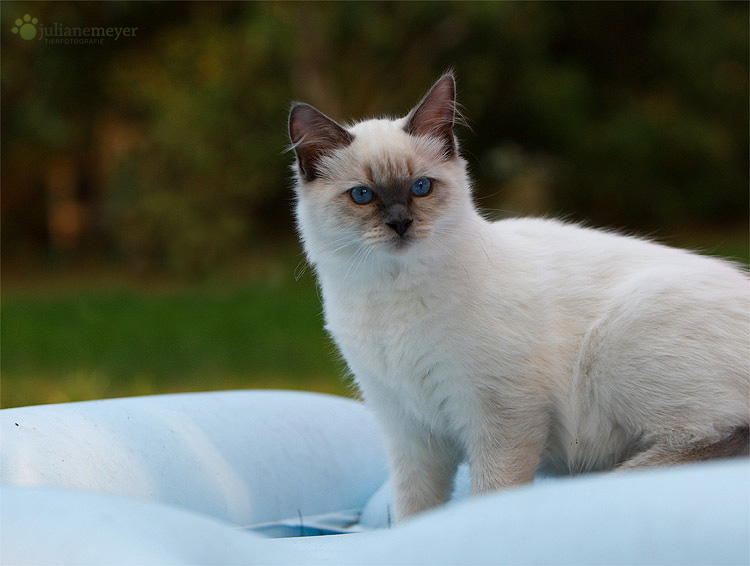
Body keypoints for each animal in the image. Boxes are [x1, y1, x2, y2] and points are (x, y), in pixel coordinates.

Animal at [286, 75, 748, 524]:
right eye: (362, 195)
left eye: (421, 188)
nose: (401, 223)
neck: (388, 300)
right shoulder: (409, 430)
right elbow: (412, 513)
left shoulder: (503, 416)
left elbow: (491, 494)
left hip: (619, 338)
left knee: (719, 439)